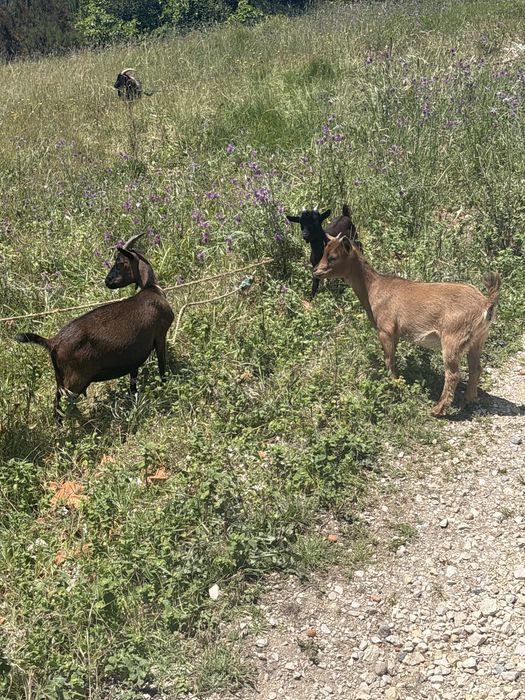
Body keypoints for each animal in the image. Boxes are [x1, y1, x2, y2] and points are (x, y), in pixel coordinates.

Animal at [16, 233, 174, 421]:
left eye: (120, 263)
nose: (107, 281)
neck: (151, 289)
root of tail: (53, 342)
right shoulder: (160, 335)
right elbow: (162, 365)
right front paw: (164, 386)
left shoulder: (134, 354)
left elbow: (133, 379)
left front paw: (135, 400)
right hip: (74, 381)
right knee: (63, 405)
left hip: (60, 379)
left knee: (57, 404)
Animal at [314, 232, 501, 416]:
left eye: (332, 257)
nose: (316, 271)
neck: (373, 288)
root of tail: (485, 303)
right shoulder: (395, 333)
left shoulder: (386, 330)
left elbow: (389, 360)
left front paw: (393, 386)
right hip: (478, 338)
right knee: (475, 368)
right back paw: (466, 402)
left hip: (453, 337)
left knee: (453, 374)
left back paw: (438, 409)